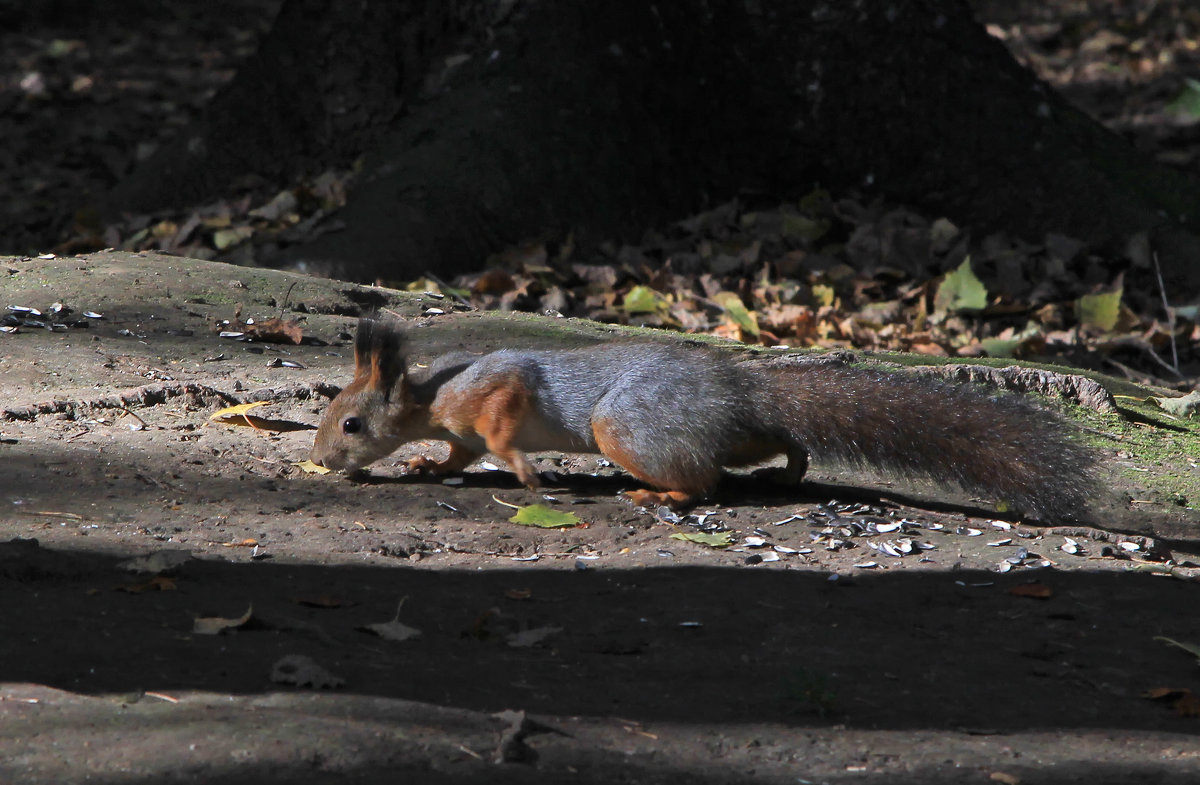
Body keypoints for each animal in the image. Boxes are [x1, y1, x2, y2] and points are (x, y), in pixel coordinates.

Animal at [309, 316, 1099, 525]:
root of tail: (734, 391)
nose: (320, 462)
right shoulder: (457, 429)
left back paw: (659, 492)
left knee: (706, 481)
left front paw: (526, 469)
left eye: (350, 425)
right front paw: (424, 463)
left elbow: (502, 425)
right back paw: (791, 463)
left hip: (624, 426)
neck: (429, 397)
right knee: (762, 449)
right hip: (737, 433)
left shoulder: (493, 388)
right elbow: (456, 456)